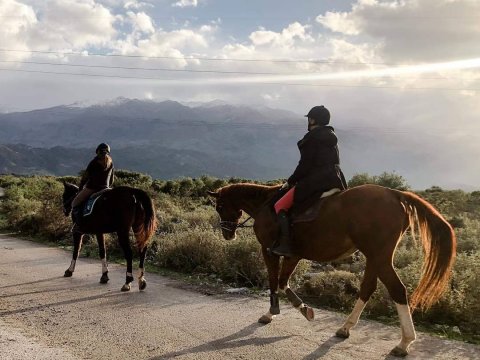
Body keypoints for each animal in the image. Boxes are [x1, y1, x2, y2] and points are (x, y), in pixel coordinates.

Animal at [208, 184, 456, 356]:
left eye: (220, 206)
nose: (227, 234)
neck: (265, 205)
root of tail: (396, 194)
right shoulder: (293, 255)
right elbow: (283, 281)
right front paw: (304, 309)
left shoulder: (270, 251)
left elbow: (275, 280)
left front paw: (272, 313)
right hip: (375, 257)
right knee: (368, 288)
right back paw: (345, 328)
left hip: (379, 256)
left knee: (397, 289)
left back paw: (404, 343)